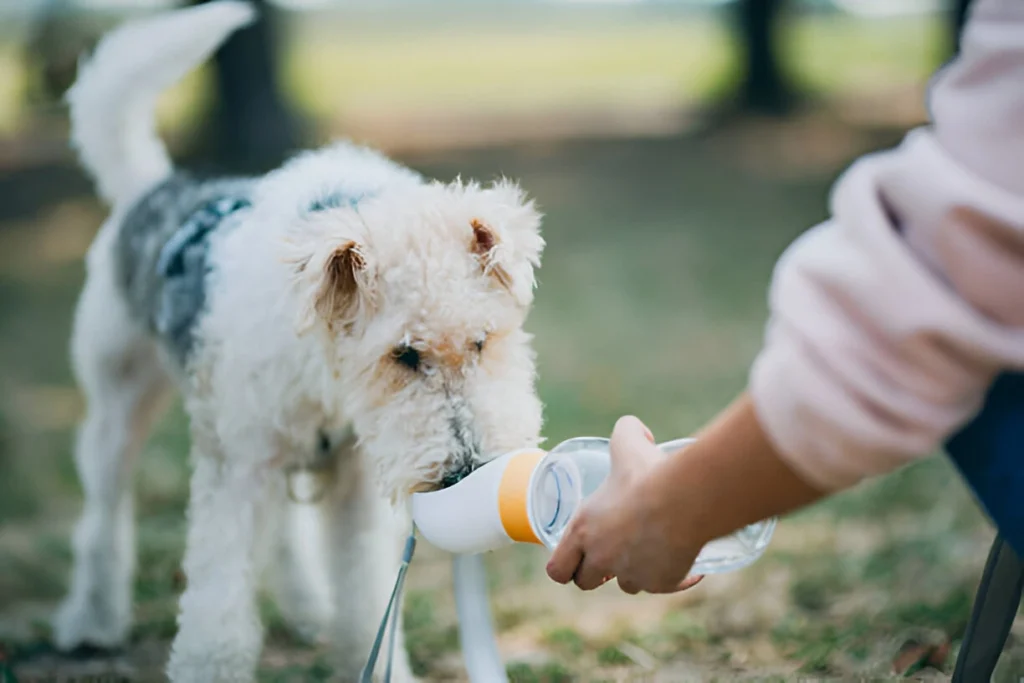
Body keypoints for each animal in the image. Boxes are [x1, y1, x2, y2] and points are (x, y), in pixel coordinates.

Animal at [56, 2, 548, 679]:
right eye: (403, 354)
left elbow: (365, 594)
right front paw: (207, 664)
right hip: (121, 406)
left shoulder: (354, 482)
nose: (466, 471)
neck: (326, 369)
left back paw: (309, 607)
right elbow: (218, 606)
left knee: (286, 531)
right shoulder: (235, 470)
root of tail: (150, 189)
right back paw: (89, 622)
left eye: (481, 341)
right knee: (103, 519)